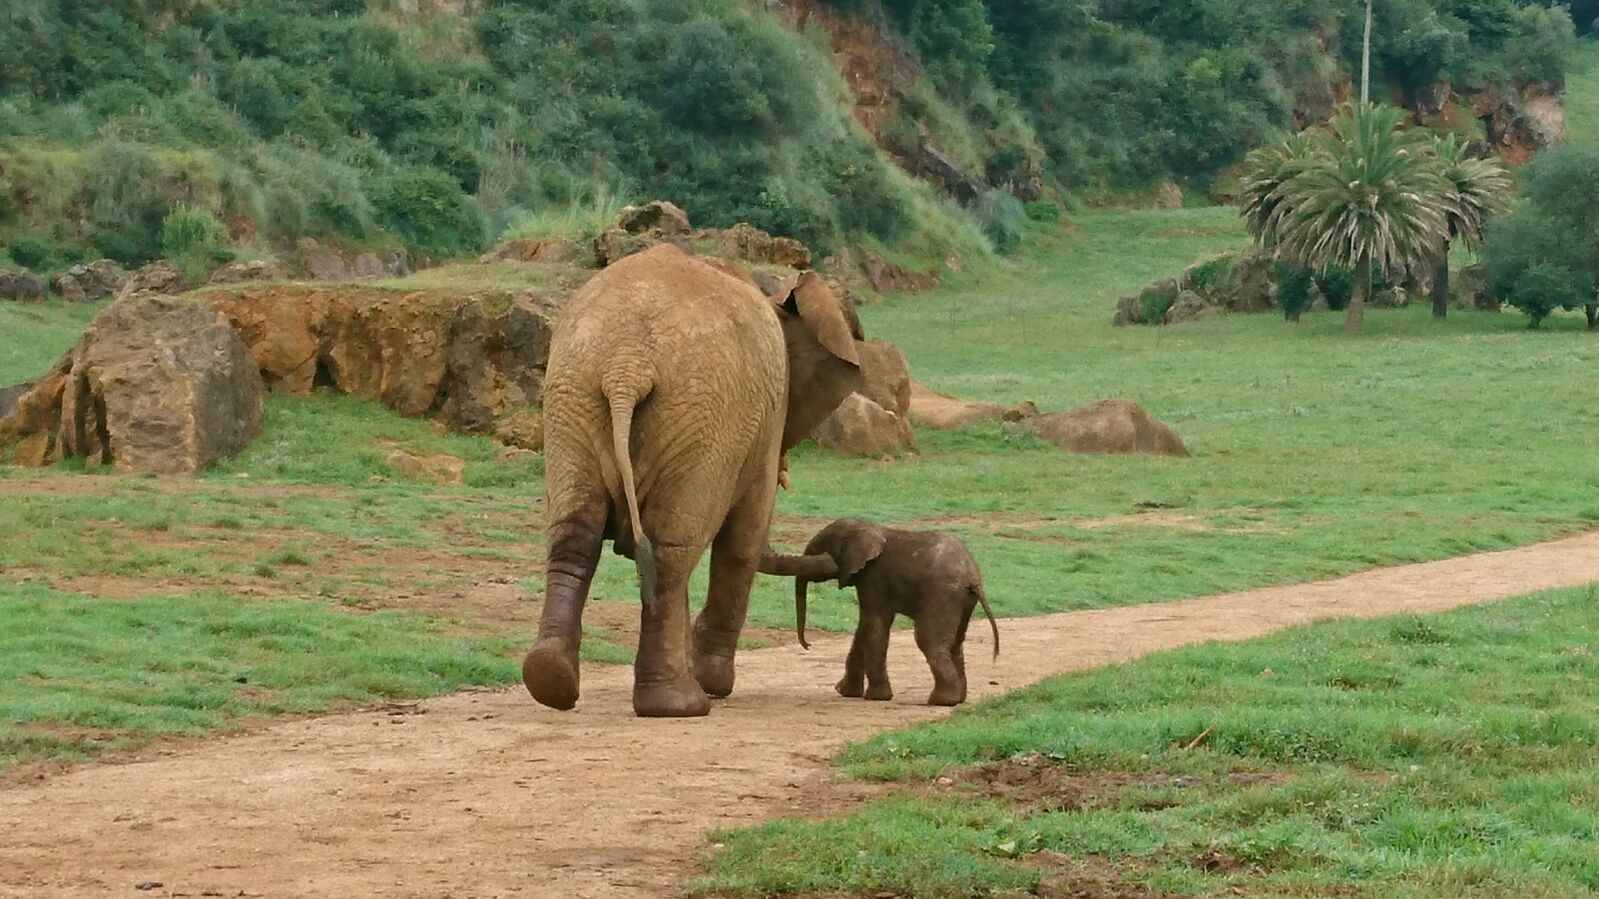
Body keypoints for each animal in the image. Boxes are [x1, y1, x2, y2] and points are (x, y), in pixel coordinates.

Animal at [522, 244, 864, 718]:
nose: (836, 564)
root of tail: (626, 366)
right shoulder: (763, 423)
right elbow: (743, 541)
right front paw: (714, 683)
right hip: (701, 417)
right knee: (672, 552)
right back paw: (681, 705)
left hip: (574, 398)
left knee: (578, 533)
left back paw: (551, 681)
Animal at [760, 519, 999, 706]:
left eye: (821, 548)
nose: (808, 645)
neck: (867, 528)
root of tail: (972, 578)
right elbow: (864, 627)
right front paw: (845, 692)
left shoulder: (873, 576)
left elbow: (874, 623)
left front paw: (875, 697)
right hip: (961, 601)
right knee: (956, 643)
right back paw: (958, 699)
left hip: (941, 593)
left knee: (928, 639)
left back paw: (940, 701)